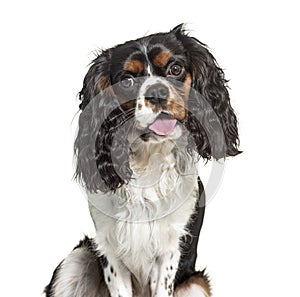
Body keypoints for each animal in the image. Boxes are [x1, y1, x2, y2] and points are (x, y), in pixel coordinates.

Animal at [45, 24, 241, 294]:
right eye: (128, 80)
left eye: (175, 69)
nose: (157, 92)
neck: (149, 158)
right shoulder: (110, 249)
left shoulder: (169, 251)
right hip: (76, 259)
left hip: (195, 283)